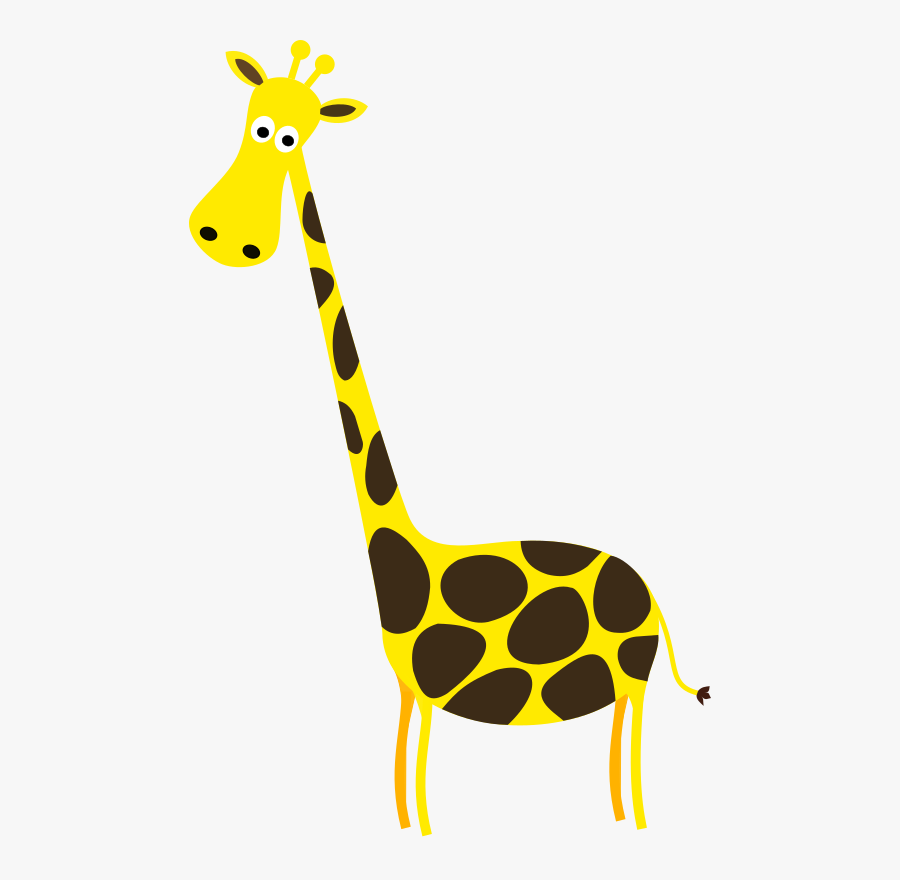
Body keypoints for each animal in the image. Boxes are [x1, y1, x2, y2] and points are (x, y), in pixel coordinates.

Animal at [189, 40, 710, 836]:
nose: (227, 238)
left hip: (632, 686)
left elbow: (420, 793)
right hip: (623, 688)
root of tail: (656, 599)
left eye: (286, 137)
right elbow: (404, 791)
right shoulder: (409, 694)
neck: (404, 557)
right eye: (253, 119)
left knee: (631, 763)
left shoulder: (433, 696)